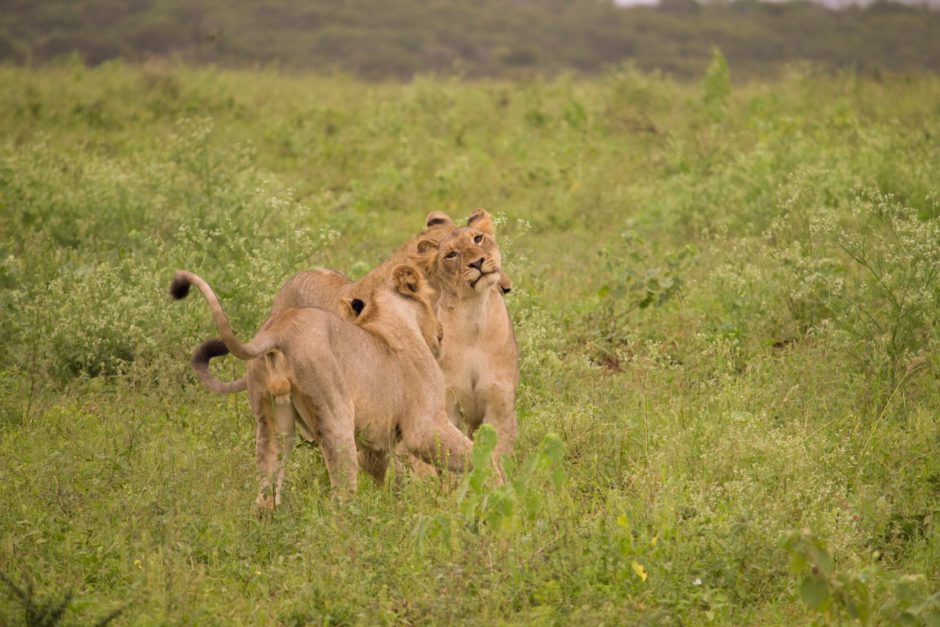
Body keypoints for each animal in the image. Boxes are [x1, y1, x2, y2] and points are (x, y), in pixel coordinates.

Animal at [170, 264, 474, 506]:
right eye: (433, 299)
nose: (441, 332)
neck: (389, 318)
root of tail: (279, 330)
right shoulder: (424, 426)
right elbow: (472, 452)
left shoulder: (377, 439)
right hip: (335, 418)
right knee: (339, 499)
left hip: (271, 420)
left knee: (266, 491)